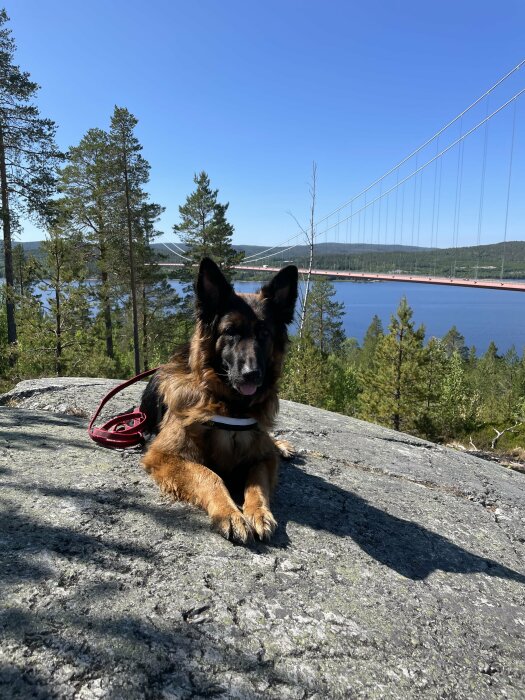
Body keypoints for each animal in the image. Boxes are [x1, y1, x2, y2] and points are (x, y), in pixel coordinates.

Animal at [139, 260, 296, 544]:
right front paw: (230, 513)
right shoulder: (164, 455)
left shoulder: (263, 457)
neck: (229, 404)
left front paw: (259, 512)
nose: (251, 374)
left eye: (264, 333)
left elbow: (257, 482)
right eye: (230, 331)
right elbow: (208, 475)